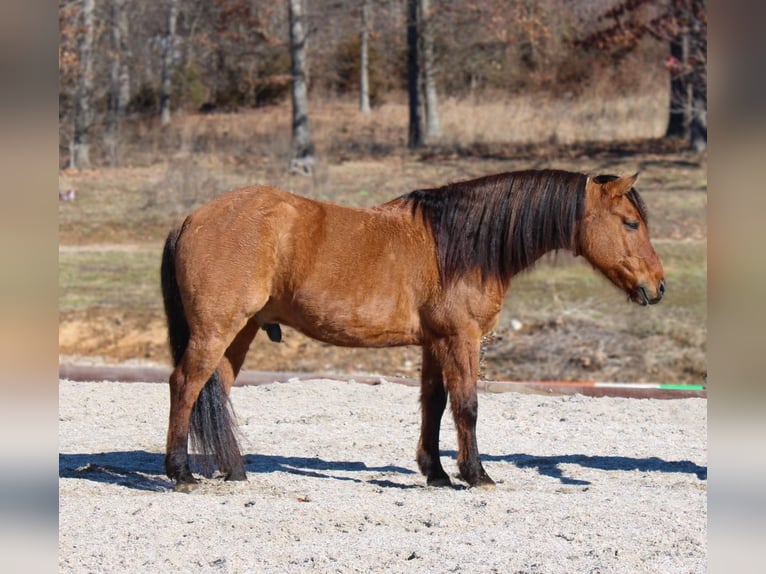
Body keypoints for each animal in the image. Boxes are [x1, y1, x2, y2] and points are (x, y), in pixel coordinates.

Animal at [160, 169, 664, 492]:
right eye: (630, 223)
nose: (657, 287)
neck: (460, 244)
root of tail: (190, 219)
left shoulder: (434, 343)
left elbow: (434, 406)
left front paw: (435, 473)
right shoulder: (461, 339)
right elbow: (467, 407)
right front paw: (475, 474)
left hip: (239, 332)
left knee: (217, 387)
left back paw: (233, 470)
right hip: (216, 330)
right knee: (185, 384)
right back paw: (181, 473)